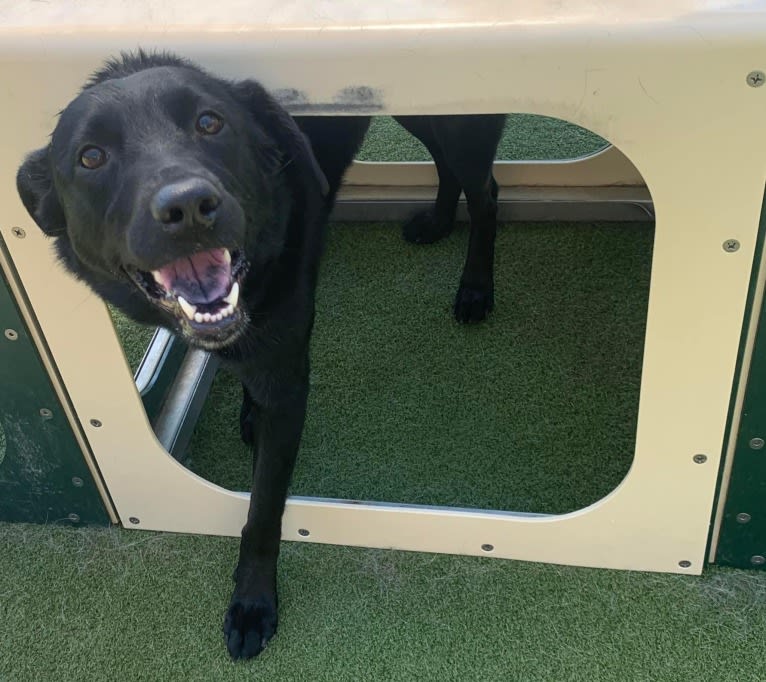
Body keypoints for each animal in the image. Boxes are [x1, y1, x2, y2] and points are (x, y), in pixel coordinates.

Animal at [15, 53, 368, 660]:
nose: (186, 206)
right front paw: (247, 411)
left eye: (210, 122)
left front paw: (253, 601)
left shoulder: (287, 379)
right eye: (91, 156)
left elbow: (264, 506)